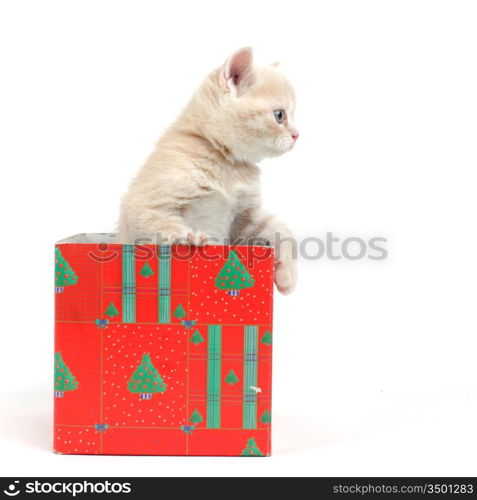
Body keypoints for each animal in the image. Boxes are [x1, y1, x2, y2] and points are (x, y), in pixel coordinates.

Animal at [118, 47, 298, 292]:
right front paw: (187, 237)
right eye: (280, 115)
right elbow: (157, 224)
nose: (297, 134)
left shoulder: (244, 218)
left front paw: (288, 275)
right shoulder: (141, 206)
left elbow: (283, 230)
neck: (227, 165)